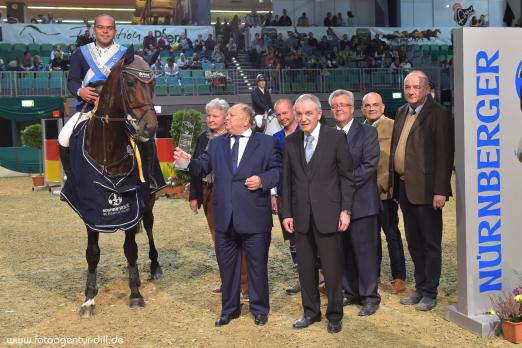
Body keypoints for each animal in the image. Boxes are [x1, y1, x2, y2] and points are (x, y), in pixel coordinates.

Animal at [75, 49, 162, 318]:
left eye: (152, 84)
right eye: (131, 83)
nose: (150, 126)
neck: (108, 152)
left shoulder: (132, 204)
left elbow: (131, 248)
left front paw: (135, 294)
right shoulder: (90, 211)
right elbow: (92, 253)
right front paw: (89, 298)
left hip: (149, 199)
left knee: (150, 225)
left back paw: (154, 266)